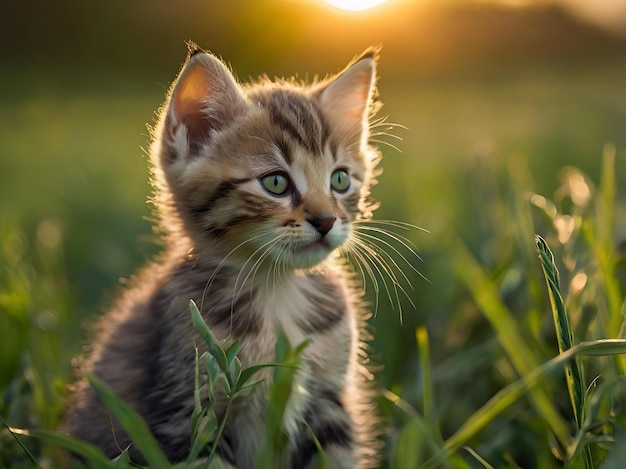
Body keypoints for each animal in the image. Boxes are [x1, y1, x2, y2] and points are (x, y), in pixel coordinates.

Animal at [63, 42, 386, 466]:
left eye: (340, 179)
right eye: (276, 182)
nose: (326, 220)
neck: (276, 290)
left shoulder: (328, 401)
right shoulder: (188, 409)